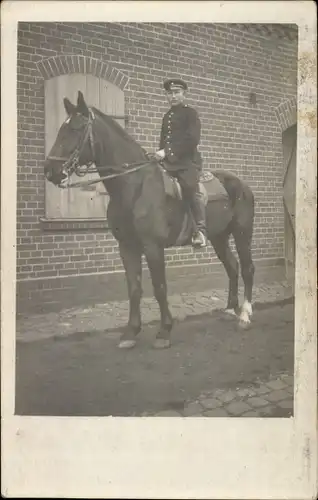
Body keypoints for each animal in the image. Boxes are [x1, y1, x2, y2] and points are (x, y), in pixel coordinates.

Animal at [44, 91, 253, 348]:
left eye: (76, 128)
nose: (50, 170)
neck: (134, 185)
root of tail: (242, 185)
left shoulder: (153, 246)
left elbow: (159, 287)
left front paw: (164, 331)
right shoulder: (127, 246)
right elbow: (134, 288)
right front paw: (130, 333)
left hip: (242, 233)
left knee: (247, 269)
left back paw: (244, 316)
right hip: (219, 237)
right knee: (232, 267)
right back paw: (230, 309)